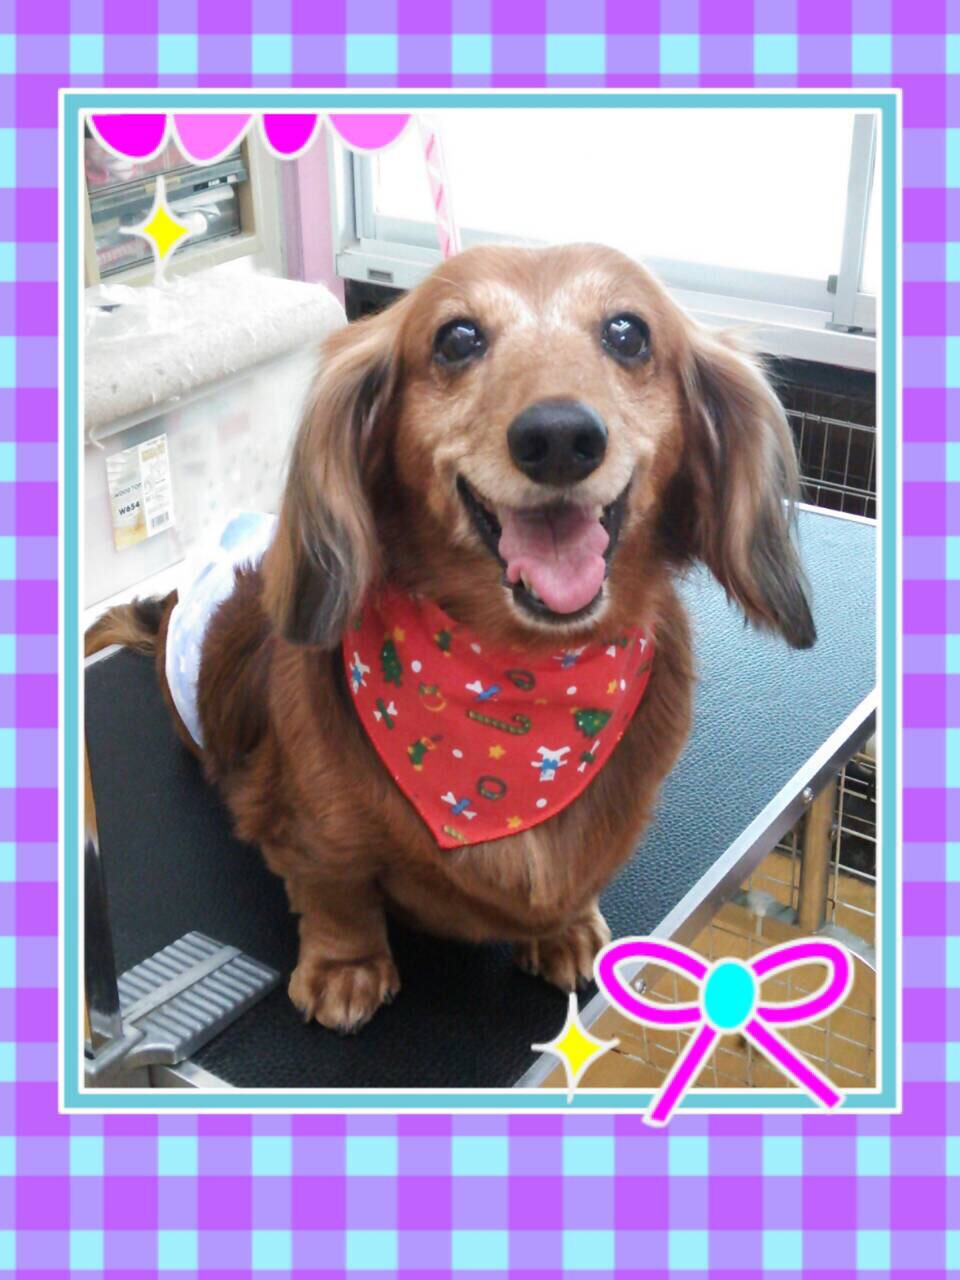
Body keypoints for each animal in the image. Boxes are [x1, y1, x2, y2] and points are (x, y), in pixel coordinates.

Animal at [87, 243, 814, 1033]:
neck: (521, 683)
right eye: (457, 339)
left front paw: (566, 928)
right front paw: (346, 965)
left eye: (629, 333)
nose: (559, 438)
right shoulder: (303, 830)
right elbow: (335, 889)